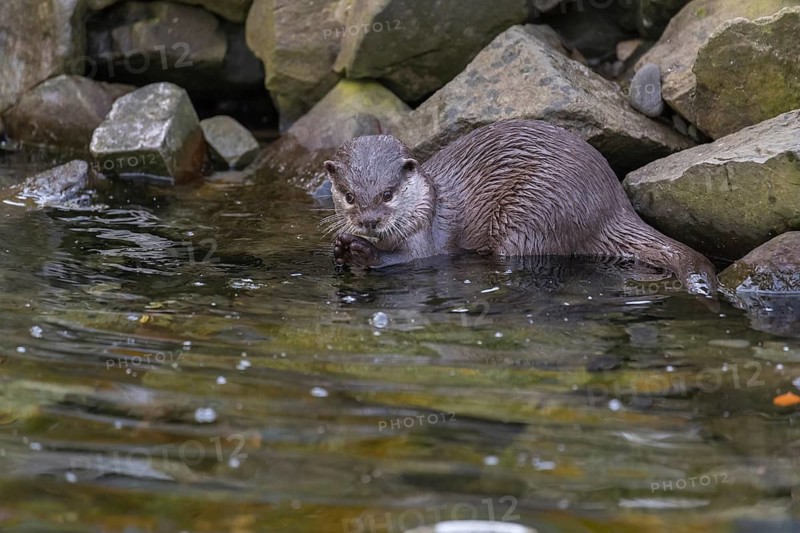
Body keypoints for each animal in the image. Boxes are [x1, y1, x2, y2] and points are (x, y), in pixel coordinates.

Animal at [322, 119, 716, 294]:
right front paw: (342, 248)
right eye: (350, 195)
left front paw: (361, 251)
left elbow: (411, 259)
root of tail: (613, 206)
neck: (425, 203)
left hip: (535, 210)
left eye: (388, 194)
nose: (369, 221)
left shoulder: (426, 237)